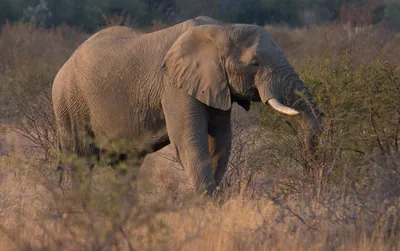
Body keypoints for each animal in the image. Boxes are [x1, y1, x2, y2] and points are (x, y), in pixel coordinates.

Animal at [51, 16, 324, 196]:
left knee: (126, 164)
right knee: (80, 161)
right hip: (69, 103)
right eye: (255, 63)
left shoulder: (216, 85)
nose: (312, 163)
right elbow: (189, 143)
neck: (222, 28)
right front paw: (207, 205)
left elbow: (220, 143)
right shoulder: (173, 86)